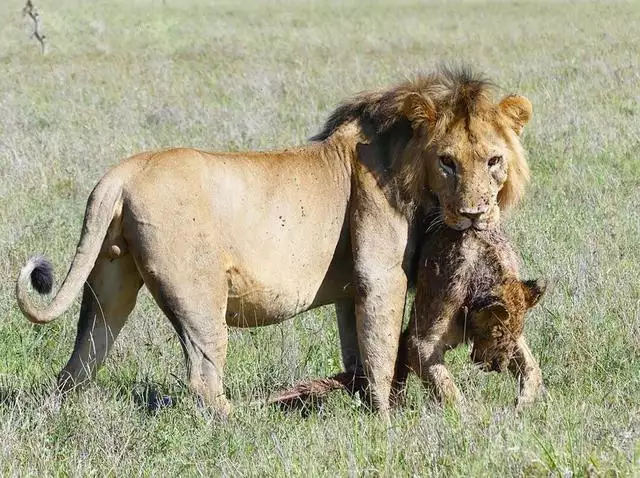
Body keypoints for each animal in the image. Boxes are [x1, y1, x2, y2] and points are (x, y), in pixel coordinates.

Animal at [17, 65, 532, 416]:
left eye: (493, 160)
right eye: (447, 161)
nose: (474, 214)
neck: (406, 163)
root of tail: (120, 175)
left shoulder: (352, 289)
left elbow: (358, 351)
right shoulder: (381, 274)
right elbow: (383, 351)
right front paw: (388, 422)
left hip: (110, 282)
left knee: (79, 363)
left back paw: (56, 415)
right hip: (199, 294)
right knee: (203, 377)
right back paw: (246, 419)